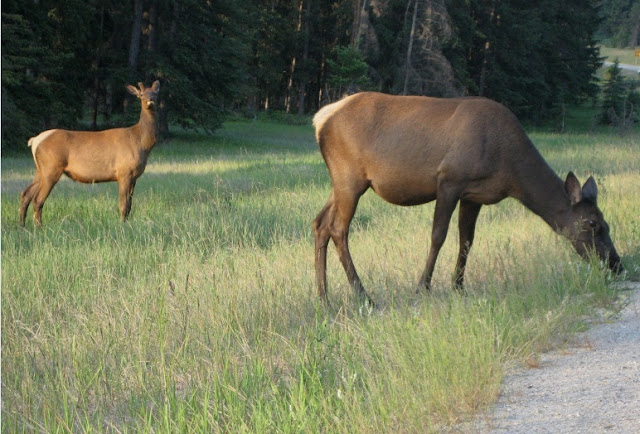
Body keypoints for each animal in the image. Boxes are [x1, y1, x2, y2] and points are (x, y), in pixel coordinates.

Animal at [19, 80, 160, 227]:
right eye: (141, 94)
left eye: (156, 93)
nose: (150, 100)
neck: (141, 143)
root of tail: (35, 141)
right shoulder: (124, 172)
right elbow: (123, 204)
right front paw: (121, 224)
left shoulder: (134, 177)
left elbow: (130, 205)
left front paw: (126, 222)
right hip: (51, 167)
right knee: (37, 199)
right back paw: (38, 226)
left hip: (40, 169)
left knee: (25, 194)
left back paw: (22, 225)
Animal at [312, 90, 624, 306]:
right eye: (593, 223)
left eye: (607, 223)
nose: (616, 265)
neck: (511, 173)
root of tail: (320, 119)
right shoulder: (449, 180)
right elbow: (438, 235)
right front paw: (423, 287)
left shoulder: (474, 195)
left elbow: (467, 240)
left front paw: (458, 286)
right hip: (350, 179)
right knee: (338, 228)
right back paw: (363, 295)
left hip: (339, 183)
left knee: (320, 223)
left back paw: (323, 297)